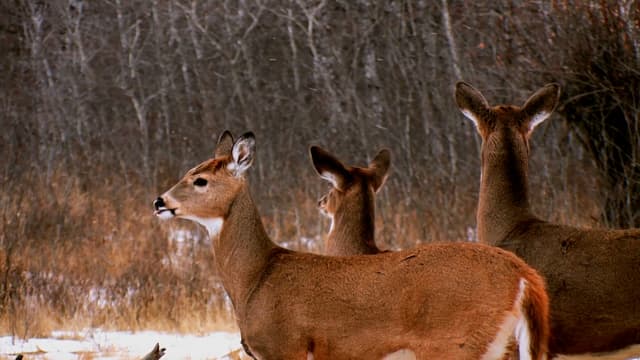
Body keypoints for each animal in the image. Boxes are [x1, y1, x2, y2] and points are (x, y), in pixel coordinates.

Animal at [154, 130, 552, 360]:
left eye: (200, 180)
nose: (159, 201)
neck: (256, 277)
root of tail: (525, 278)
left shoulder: (286, 346)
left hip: (455, 344)